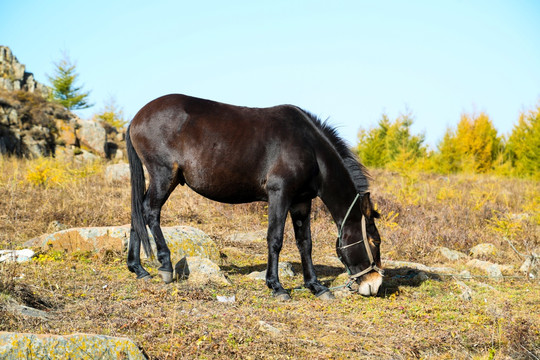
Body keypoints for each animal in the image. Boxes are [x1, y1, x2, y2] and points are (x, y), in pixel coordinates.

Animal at [125, 94, 384, 300]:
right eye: (374, 242)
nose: (375, 284)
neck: (309, 147)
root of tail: (136, 118)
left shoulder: (301, 201)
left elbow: (305, 243)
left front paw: (316, 286)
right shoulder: (280, 194)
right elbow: (275, 239)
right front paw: (276, 287)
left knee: (137, 214)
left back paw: (138, 269)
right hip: (164, 176)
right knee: (150, 212)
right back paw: (165, 265)